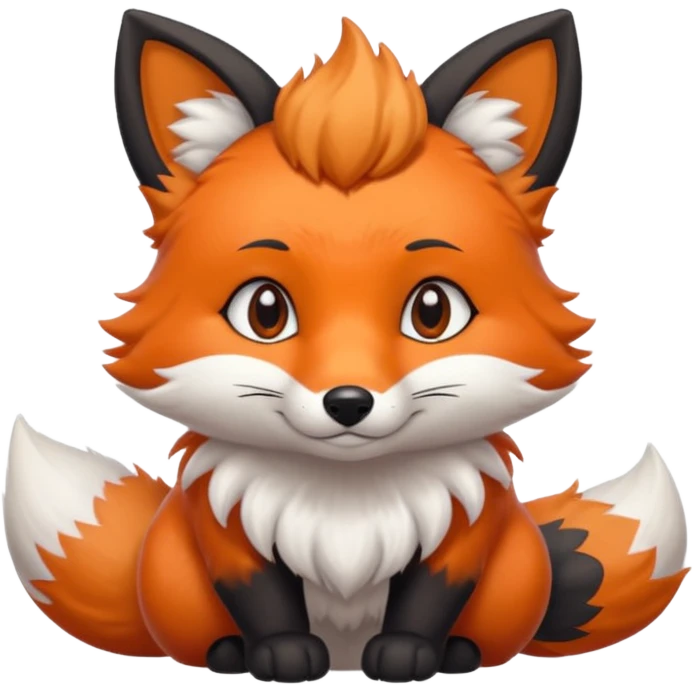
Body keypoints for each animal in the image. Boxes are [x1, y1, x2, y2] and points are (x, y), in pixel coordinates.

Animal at [1, 7, 689, 684]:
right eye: (265, 311)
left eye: (433, 311)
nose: (349, 402)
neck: (347, 499)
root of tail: (345, 655)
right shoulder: (225, 525)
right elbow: (260, 596)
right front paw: (280, 655)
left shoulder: (465, 526)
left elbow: (431, 596)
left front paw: (411, 654)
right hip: (168, 564)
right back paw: (228, 654)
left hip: (519, 563)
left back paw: (459, 655)